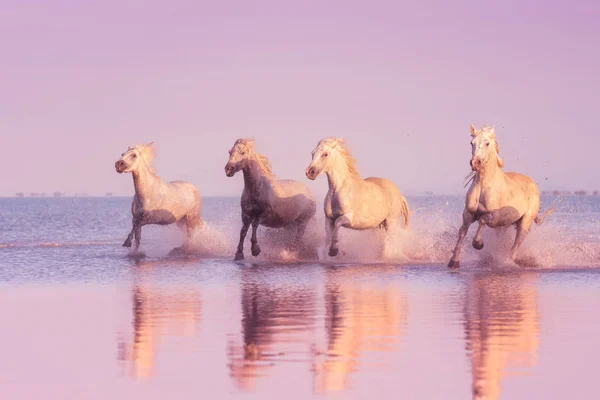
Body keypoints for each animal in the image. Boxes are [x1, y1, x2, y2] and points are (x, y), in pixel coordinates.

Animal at [448, 125, 556, 268]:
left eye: (487, 143)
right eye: (472, 143)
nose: (475, 163)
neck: (483, 186)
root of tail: (533, 184)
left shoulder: (494, 216)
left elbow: (482, 220)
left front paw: (478, 244)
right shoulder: (468, 214)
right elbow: (462, 232)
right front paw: (453, 261)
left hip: (525, 222)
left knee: (517, 243)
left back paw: (507, 261)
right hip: (504, 225)